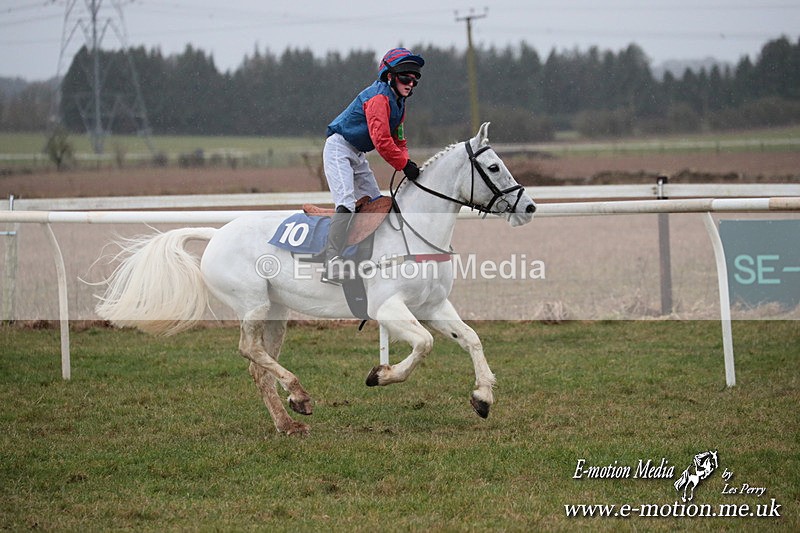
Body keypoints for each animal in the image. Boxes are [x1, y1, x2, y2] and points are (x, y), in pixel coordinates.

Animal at [95, 122, 536, 435]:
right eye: (494, 166)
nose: (528, 206)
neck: (414, 232)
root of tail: (216, 233)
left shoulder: (433, 305)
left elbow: (472, 338)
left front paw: (482, 396)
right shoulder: (388, 308)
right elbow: (424, 344)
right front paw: (381, 375)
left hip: (276, 311)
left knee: (258, 364)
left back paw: (289, 421)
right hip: (253, 303)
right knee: (248, 350)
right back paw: (299, 395)